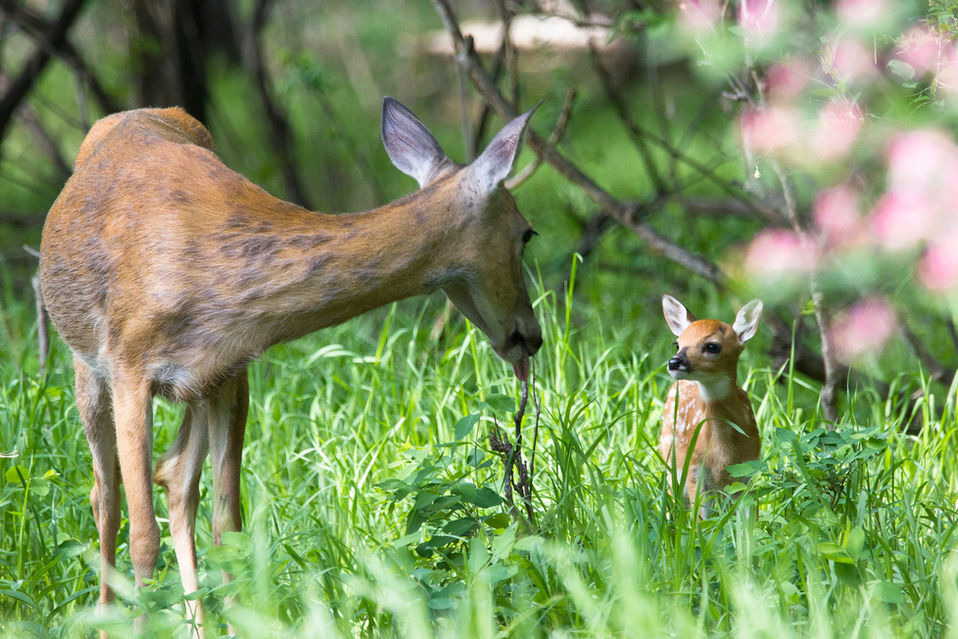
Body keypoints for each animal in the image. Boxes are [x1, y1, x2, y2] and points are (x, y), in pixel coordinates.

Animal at [38, 98, 542, 634]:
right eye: (526, 233)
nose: (532, 336)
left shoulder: (228, 368)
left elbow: (227, 526)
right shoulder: (129, 366)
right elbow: (143, 539)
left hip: (206, 388)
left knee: (175, 480)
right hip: (87, 365)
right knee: (105, 495)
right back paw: (105, 618)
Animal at [659, 294, 763, 518]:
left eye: (712, 346)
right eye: (677, 344)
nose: (674, 362)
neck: (722, 453)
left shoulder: (748, 468)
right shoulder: (695, 471)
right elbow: (700, 522)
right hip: (671, 459)